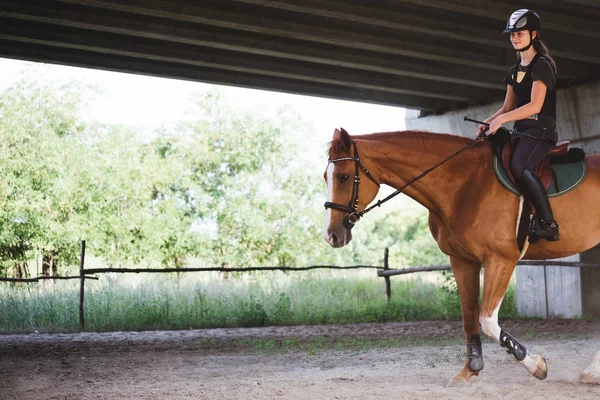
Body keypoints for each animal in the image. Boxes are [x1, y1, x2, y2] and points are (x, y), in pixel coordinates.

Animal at [324, 128, 600, 384]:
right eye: (326, 177)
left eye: (344, 177)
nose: (332, 235)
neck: (464, 184)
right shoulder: (461, 260)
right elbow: (469, 315)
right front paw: (469, 371)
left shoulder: (501, 259)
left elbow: (487, 320)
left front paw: (536, 365)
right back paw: (591, 371)